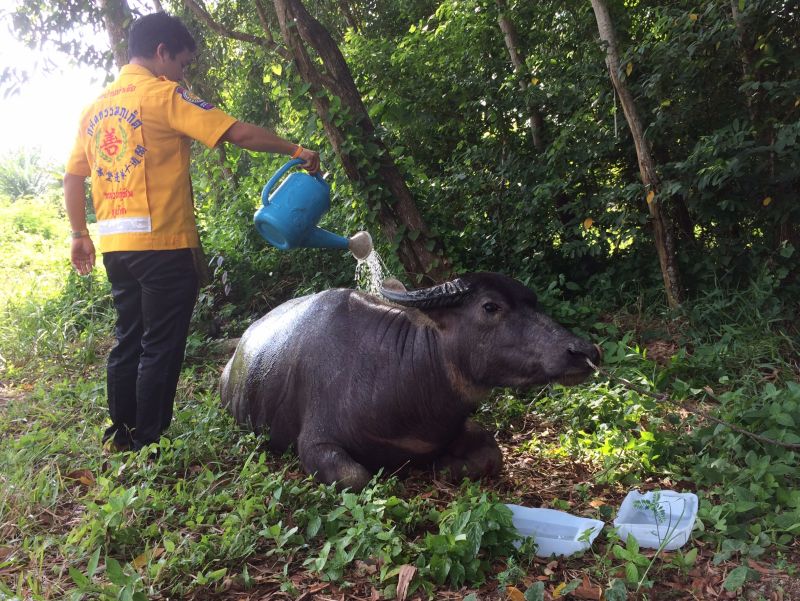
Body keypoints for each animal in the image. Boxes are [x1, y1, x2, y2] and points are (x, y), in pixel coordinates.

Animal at [222, 274, 596, 490]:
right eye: (491, 306)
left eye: (534, 302)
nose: (584, 351)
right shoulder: (316, 441)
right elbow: (354, 477)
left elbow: (493, 455)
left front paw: (445, 463)